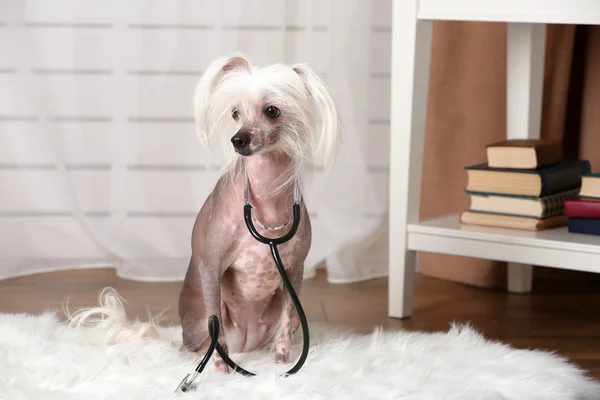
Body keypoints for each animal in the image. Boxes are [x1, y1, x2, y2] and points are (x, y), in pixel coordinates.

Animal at [178, 54, 342, 374]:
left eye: (272, 110)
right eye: (235, 113)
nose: (238, 140)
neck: (267, 195)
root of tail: (245, 344)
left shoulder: (294, 272)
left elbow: (287, 322)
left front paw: (282, 364)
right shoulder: (211, 267)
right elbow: (216, 328)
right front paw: (222, 370)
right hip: (200, 318)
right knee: (205, 338)